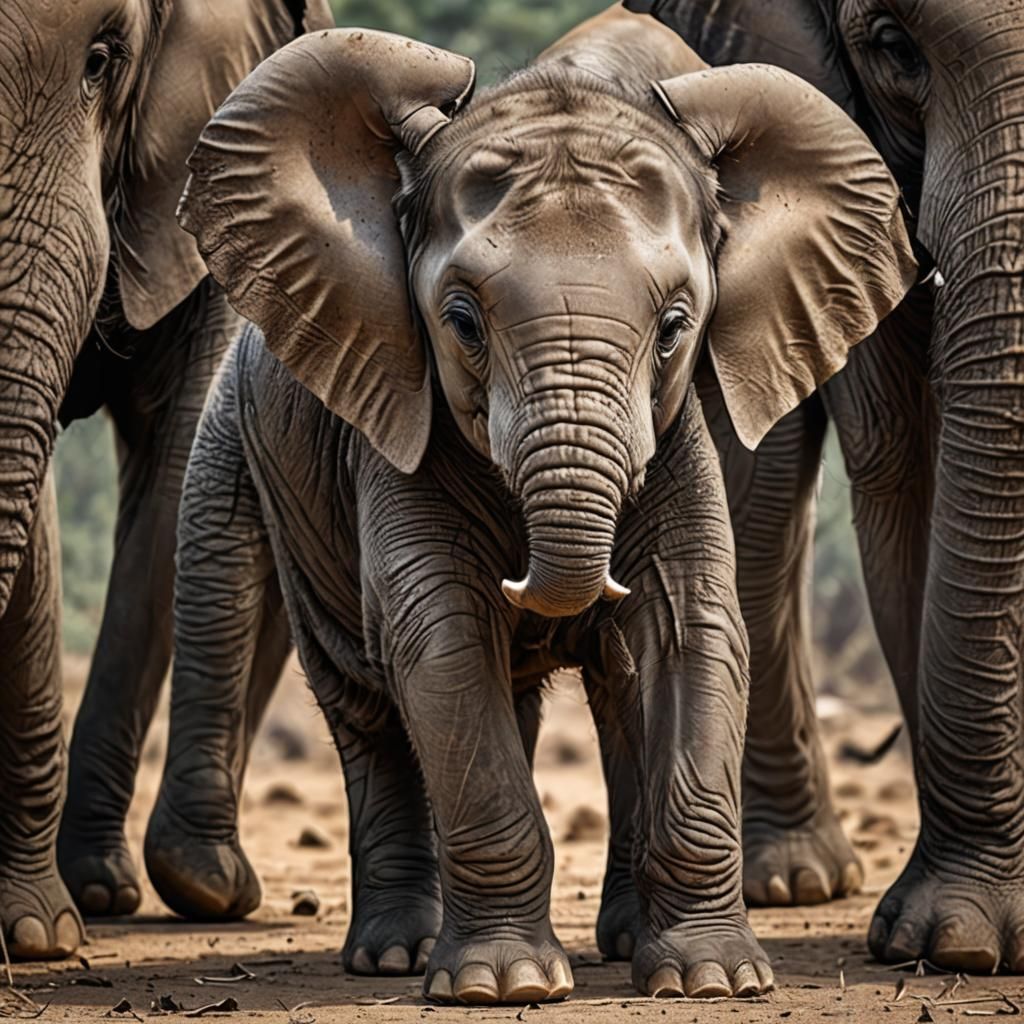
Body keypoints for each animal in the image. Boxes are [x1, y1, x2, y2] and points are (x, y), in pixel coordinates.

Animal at [140, 6, 915, 1003]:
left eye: (676, 327)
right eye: (462, 322)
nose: (542, 583)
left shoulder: (679, 443)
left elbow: (689, 630)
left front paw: (714, 981)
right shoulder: (394, 422)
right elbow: (440, 639)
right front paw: (501, 986)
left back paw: (614, 944)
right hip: (286, 485)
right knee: (364, 701)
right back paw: (398, 954)